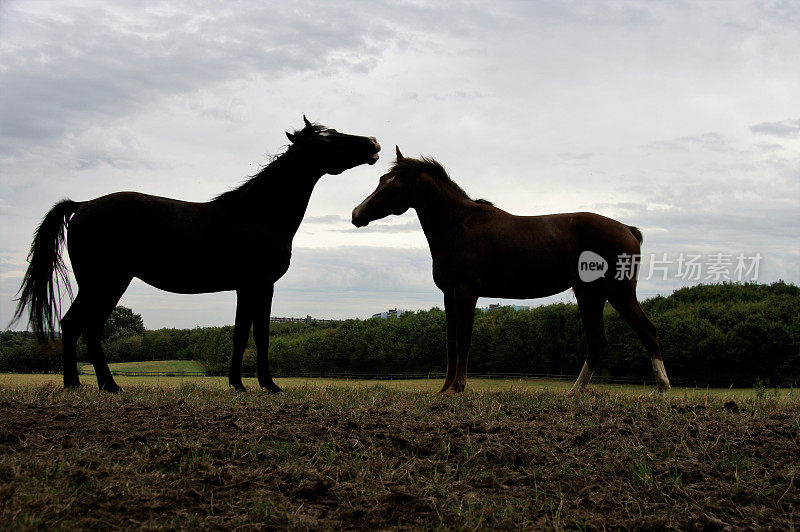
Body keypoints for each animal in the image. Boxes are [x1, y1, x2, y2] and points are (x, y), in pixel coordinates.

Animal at [11, 118, 382, 392]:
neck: (257, 213)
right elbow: (259, 334)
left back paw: (89, 385)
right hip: (105, 281)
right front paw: (269, 385)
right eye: (327, 139)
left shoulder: (245, 287)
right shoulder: (261, 284)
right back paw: (97, 385)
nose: (373, 143)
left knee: (81, 326)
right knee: (79, 325)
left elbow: (240, 334)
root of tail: (83, 205)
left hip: (104, 283)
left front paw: (238, 386)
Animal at [354, 145, 672, 394]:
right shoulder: (448, 295)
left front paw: (458, 387)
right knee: (598, 342)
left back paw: (661, 388)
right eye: (382, 178)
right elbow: (451, 342)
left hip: (619, 293)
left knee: (647, 331)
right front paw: (444, 388)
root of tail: (627, 229)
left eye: (394, 185)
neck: (460, 225)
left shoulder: (466, 293)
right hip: (590, 295)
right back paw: (575, 392)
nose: (357, 214)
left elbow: (464, 340)